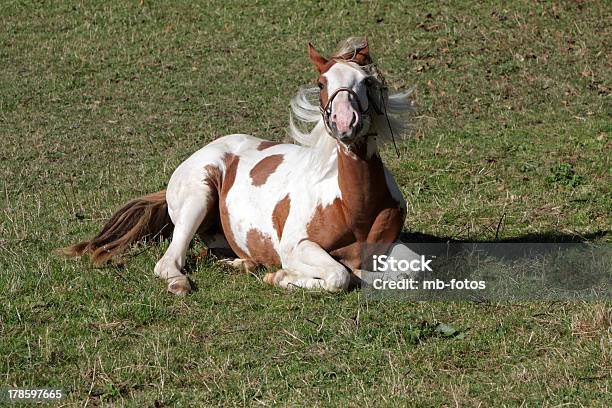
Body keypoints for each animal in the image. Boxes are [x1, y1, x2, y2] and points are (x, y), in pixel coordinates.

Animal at [59, 37, 414, 294]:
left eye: (366, 82)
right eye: (321, 83)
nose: (344, 122)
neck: (354, 207)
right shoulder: (295, 246)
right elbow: (340, 276)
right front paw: (281, 277)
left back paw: (242, 265)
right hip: (199, 197)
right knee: (169, 262)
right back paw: (182, 283)